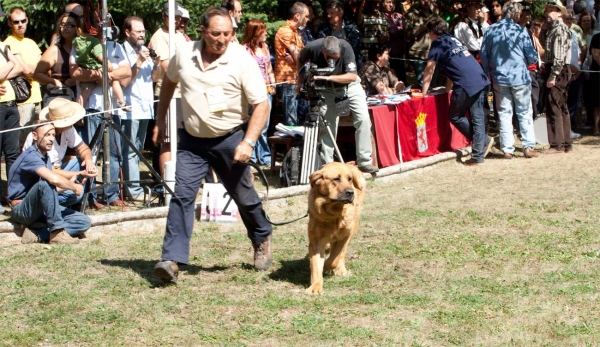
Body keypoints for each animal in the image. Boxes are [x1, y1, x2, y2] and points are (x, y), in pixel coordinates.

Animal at [304, 162, 366, 294]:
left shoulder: (344, 237)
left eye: (350, 179)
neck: (332, 214)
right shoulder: (316, 242)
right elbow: (316, 267)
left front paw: (329, 266)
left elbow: (334, 259)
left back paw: (340, 269)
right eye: (336, 179)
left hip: (353, 227)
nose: (351, 192)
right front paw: (315, 286)